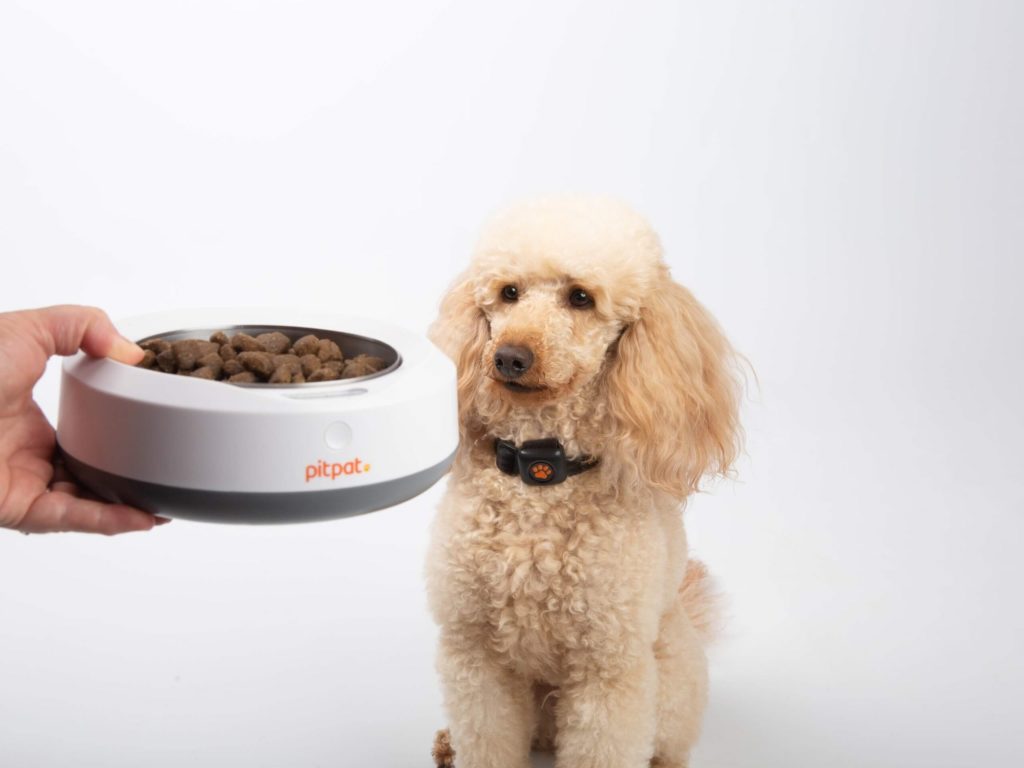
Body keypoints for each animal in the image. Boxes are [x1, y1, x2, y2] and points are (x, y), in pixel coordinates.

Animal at [425, 199, 745, 768]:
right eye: (508, 292)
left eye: (580, 298)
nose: (509, 356)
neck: (539, 475)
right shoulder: (477, 656)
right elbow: (486, 741)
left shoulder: (608, 668)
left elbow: (606, 745)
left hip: (670, 678)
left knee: (668, 747)